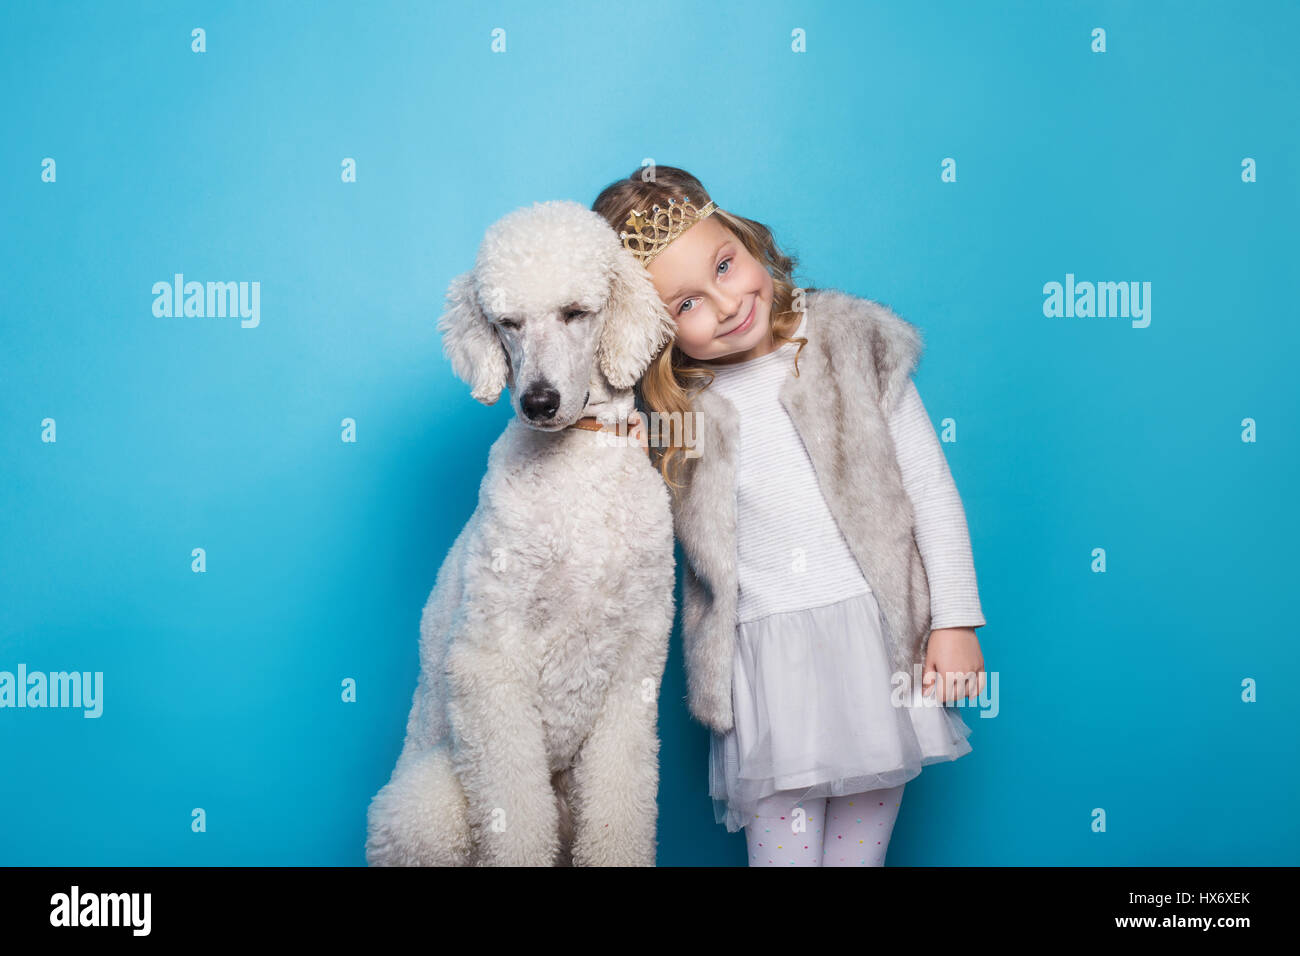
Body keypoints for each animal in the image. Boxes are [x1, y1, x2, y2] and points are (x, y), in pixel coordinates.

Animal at [361, 201, 676, 868]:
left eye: (576, 312)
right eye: (507, 323)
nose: (538, 401)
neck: (575, 467)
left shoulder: (634, 664)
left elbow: (619, 808)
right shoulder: (490, 660)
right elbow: (514, 815)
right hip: (426, 808)